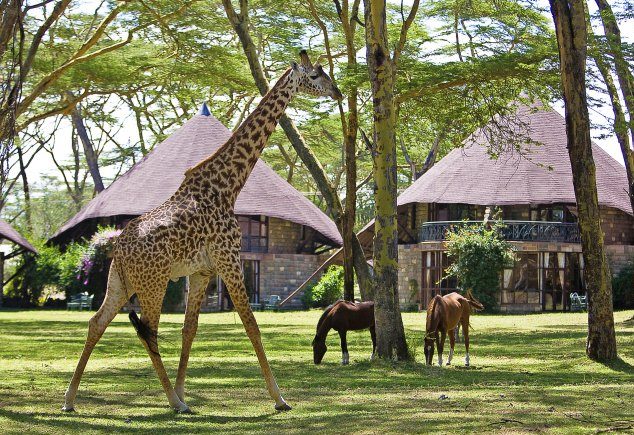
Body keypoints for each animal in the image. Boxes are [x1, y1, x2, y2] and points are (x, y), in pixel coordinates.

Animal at [60, 50, 340, 412]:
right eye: (317, 74)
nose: (337, 92)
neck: (228, 186)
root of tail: (118, 248)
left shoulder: (202, 271)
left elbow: (189, 329)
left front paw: (183, 390)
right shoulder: (229, 259)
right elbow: (251, 324)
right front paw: (279, 398)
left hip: (119, 282)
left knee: (97, 322)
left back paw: (70, 399)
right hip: (153, 284)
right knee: (147, 330)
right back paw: (173, 403)